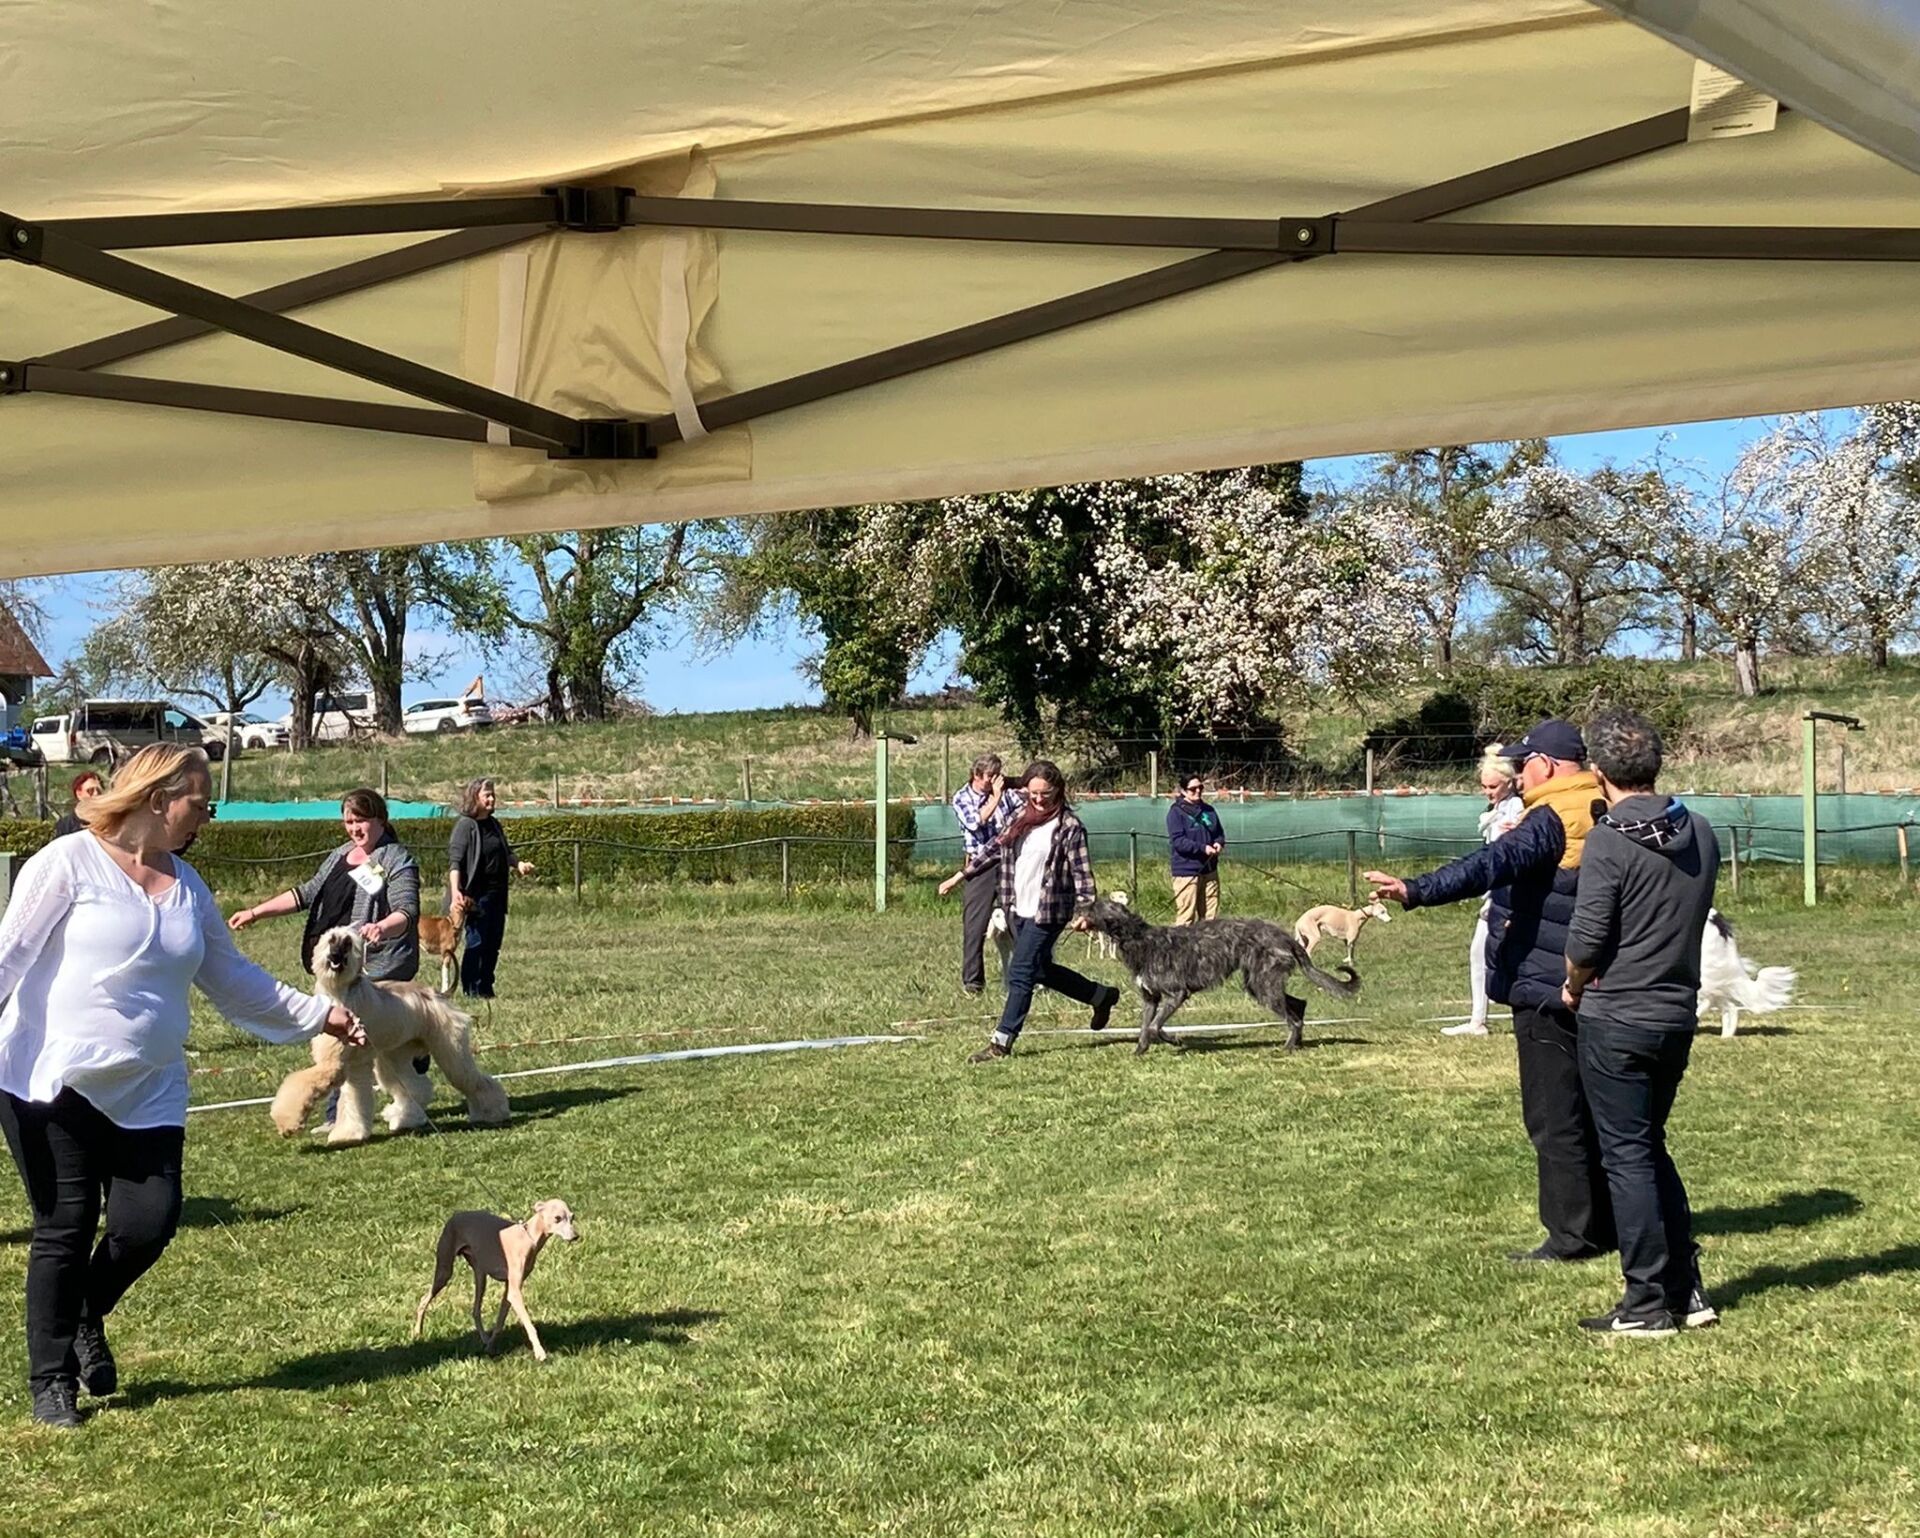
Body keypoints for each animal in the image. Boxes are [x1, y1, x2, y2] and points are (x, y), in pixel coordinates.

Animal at [270, 926, 511, 1146]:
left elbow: (302, 1084)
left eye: (348, 943)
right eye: (332, 940)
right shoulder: (355, 1064)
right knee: (417, 1087)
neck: (340, 991)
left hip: (449, 1048)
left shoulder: (333, 1063)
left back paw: (494, 1112)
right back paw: (404, 1118)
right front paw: (350, 1133)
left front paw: (287, 1122)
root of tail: (438, 994)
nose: (336, 956)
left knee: (473, 1080)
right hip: (395, 1055)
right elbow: (354, 1099)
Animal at [413, 1200, 578, 1361]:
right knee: (423, 1300)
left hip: (480, 1275)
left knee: (475, 1311)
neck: (528, 1236)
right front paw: (540, 1352)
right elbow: (529, 1325)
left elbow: (500, 1322)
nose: (576, 1236)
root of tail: (456, 1215)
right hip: (444, 1272)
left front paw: (491, 1347)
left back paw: (484, 1339)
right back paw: (417, 1333)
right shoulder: (514, 1292)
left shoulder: (510, 1290)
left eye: (572, 1217)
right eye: (557, 1218)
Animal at [1075, 898, 1360, 1054]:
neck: (1140, 939)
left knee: (1293, 1018)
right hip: (1260, 983)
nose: (1078, 904)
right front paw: (1139, 1051)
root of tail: (1286, 937)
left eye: (1093, 906)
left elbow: (1155, 1026)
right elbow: (1146, 1027)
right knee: (1299, 1005)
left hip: (1264, 984)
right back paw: (1297, 1043)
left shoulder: (1176, 994)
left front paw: (1174, 1039)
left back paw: (1288, 1047)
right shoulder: (1150, 998)